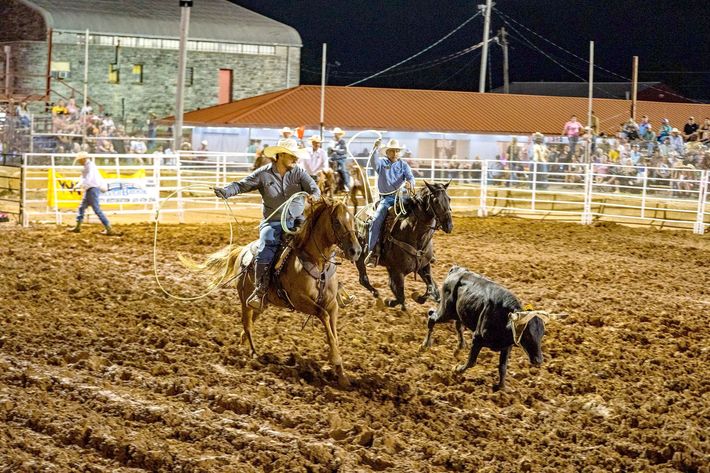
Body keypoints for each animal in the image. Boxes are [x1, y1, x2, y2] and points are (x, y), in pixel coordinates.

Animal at [181, 197, 364, 386]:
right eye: (336, 222)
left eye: (353, 219)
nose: (356, 251)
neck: (317, 262)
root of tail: (242, 250)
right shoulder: (300, 300)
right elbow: (324, 316)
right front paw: (335, 359)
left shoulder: (332, 304)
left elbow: (333, 332)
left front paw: (342, 376)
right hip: (244, 300)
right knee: (247, 323)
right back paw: (254, 353)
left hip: (262, 304)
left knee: (251, 320)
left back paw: (242, 342)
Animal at [358, 183, 454, 312]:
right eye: (436, 201)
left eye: (449, 199)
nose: (449, 225)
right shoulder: (396, 271)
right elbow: (400, 297)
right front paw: (389, 301)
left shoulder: (423, 266)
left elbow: (433, 289)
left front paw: (419, 297)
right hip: (359, 257)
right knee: (363, 279)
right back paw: (377, 295)